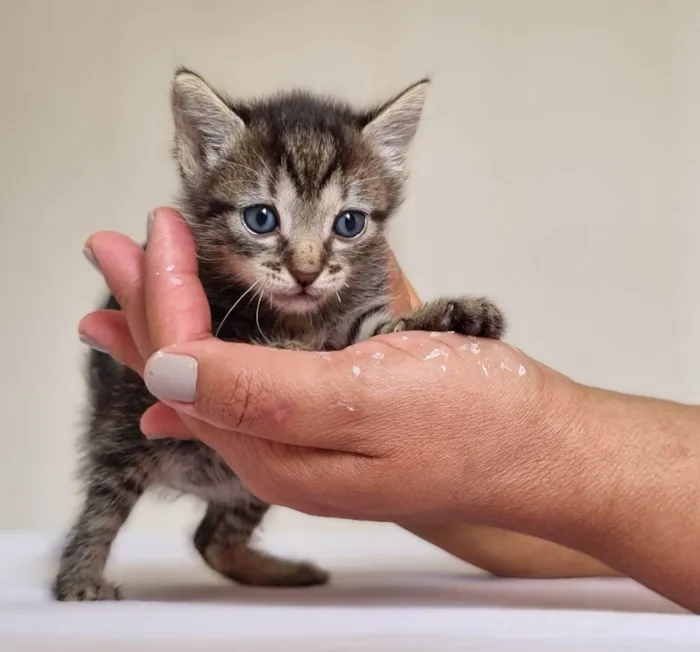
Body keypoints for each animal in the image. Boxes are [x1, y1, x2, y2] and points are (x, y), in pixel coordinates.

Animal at [52, 67, 506, 600]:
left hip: (248, 485)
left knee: (211, 538)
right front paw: (290, 350)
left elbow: (375, 332)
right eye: (261, 218)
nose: (306, 273)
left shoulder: (354, 317)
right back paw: (79, 581)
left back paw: (280, 572)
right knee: (101, 510)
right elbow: (250, 341)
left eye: (349, 223)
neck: (298, 317)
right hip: (121, 430)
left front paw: (453, 311)